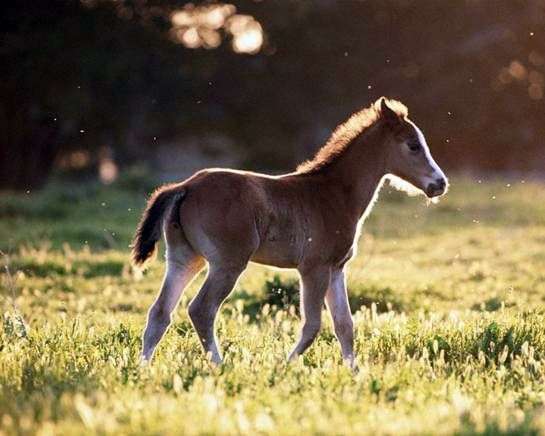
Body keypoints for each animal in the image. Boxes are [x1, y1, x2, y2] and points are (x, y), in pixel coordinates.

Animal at [132, 97, 446, 366]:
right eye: (413, 145)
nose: (440, 184)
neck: (333, 194)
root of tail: (185, 186)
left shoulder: (336, 269)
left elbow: (345, 325)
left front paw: (355, 374)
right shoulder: (314, 268)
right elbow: (313, 325)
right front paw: (284, 366)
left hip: (185, 259)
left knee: (159, 312)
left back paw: (143, 367)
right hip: (227, 263)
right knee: (201, 310)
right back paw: (219, 365)